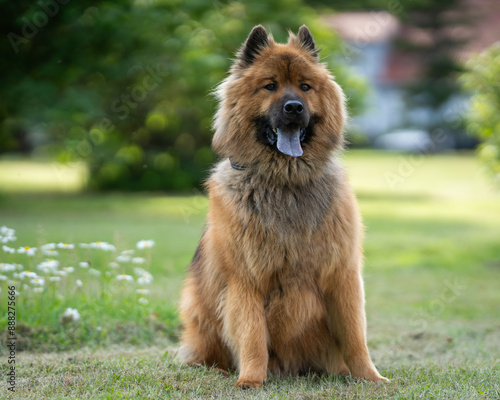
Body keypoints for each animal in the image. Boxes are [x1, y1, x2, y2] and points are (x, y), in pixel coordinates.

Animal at [178, 24, 388, 388]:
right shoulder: (246, 281)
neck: (285, 182)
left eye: (305, 86)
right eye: (270, 86)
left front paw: (370, 377)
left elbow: (355, 337)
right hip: (197, 307)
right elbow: (252, 337)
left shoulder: (343, 275)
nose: (293, 107)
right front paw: (250, 379)